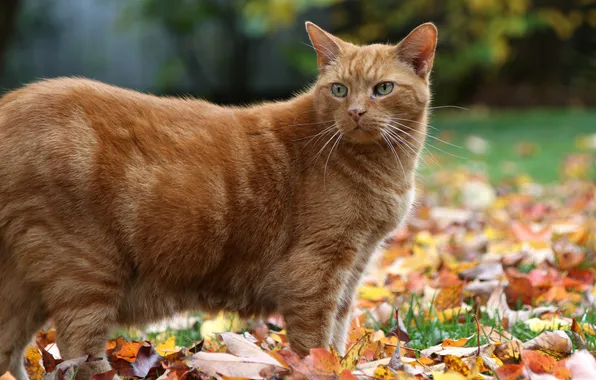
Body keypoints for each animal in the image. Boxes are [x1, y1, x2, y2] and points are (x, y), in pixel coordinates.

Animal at [0, 21, 438, 380]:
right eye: (339, 89)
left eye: (383, 89)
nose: (357, 111)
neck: (383, 167)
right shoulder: (317, 273)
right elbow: (314, 344)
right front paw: (320, 369)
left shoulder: (350, 272)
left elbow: (337, 337)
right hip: (85, 272)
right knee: (80, 356)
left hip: (24, 285)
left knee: (8, 350)